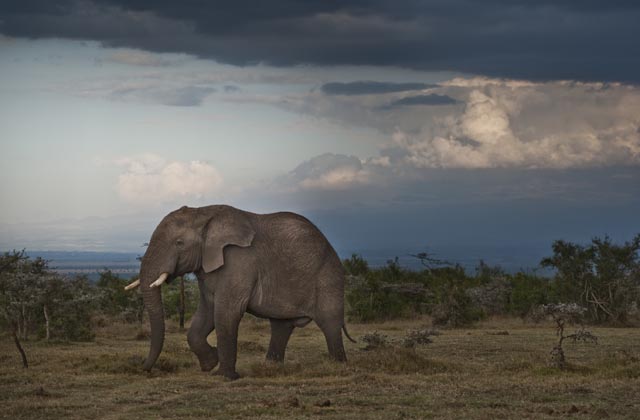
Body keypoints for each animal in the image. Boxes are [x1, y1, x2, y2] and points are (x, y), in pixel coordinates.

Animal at [124, 204, 355, 380]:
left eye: (179, 243)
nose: (144, 369)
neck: (203, 213)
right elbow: (207, 313)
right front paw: (210, 364)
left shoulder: (239, 261)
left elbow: (226, 313)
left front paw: (223, 376)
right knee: (281, 326)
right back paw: (270, 368)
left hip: (328, 276)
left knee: (329, 323)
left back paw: (338, 367)